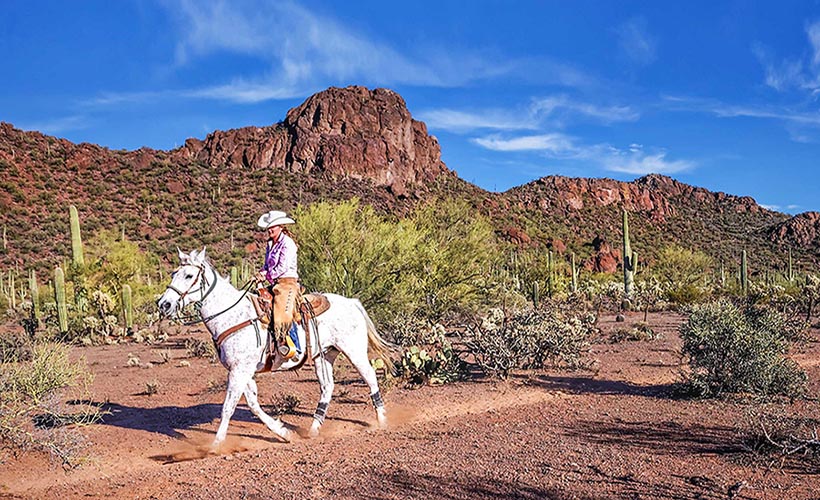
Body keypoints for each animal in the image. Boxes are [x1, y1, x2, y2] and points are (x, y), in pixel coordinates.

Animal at [156, 247, 393, 450]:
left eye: (188, 276)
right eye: (174, 273)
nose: (163, 304)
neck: (232, 316)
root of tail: (352, 302)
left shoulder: (240, 370)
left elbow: (228, 407)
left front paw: (215, 446)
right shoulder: (242, 370)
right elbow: (253, 404)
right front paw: (283, 432)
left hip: (354, 351)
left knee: (370, 376)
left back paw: (382, 421)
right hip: (323, 355)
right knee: (327, 386)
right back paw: (314, 429)